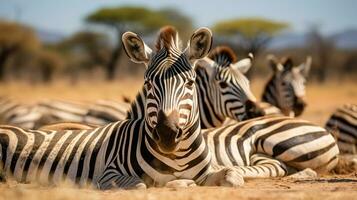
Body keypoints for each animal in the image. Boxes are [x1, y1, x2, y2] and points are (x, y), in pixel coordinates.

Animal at [0, 27, 242, 189]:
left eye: (190, 83)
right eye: (148, 85)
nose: (167, 134)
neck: (178, 157)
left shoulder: (209, 173)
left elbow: (233, 175)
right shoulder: (108, 175)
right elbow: (145, 184)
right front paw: (179, 184)